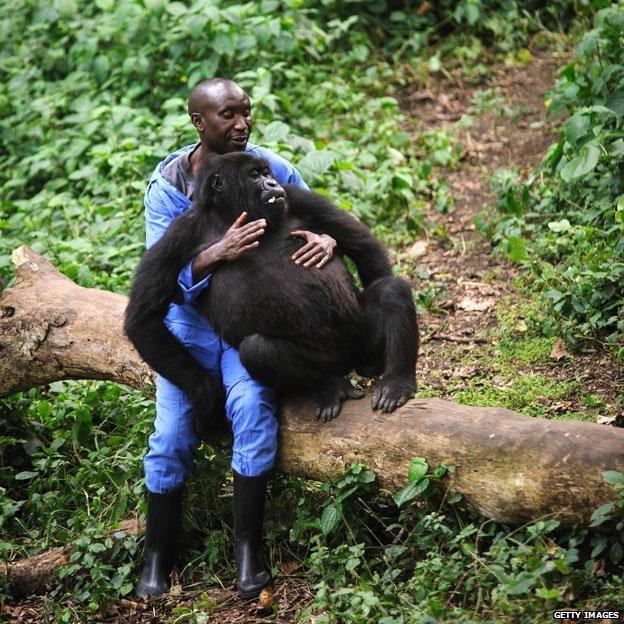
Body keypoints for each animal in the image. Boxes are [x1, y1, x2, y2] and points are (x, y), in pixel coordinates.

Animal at [123, 152, 420, 428]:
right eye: (254, 175)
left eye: (267, 172)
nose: (272, 182)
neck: (230, 213)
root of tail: (349, 361)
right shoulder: (180, 232)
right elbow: (144, 317)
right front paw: (205, 394)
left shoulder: (298, 196)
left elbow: (361, 244)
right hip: (332, 360)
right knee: (258, 350)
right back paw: (330, 385)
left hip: (360, 340)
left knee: (391, 291)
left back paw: (395, 380)